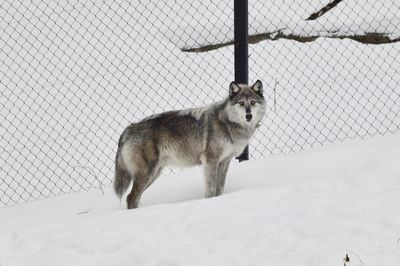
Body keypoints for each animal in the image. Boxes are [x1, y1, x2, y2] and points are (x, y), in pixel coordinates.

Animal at [113, 80, 266, 209]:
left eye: (253, 102)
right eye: (241, 103)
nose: (248, 116)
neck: (227, 122)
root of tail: (129, 129)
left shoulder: (225, 161)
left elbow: (220, 188)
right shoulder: (210, 161)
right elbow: (211, 189)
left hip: (154, 174)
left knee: (134, 197)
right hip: (147, 174)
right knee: (131, 198)